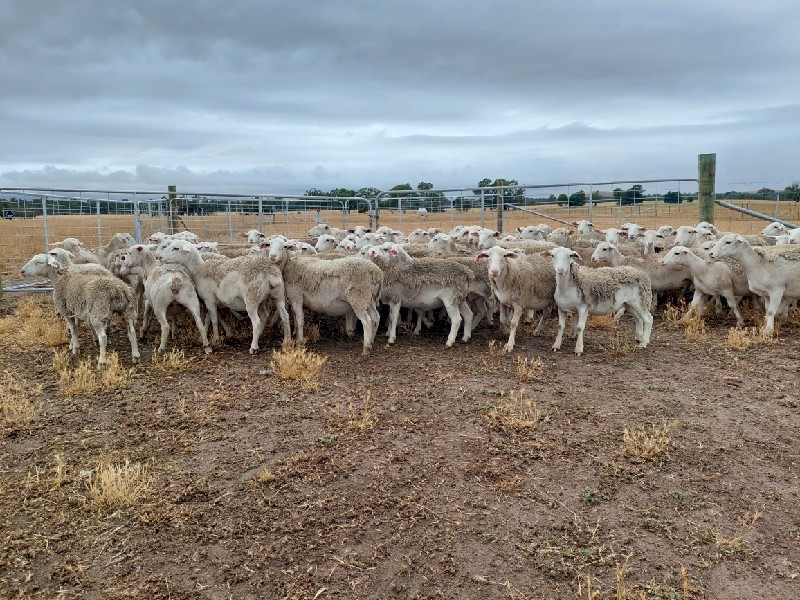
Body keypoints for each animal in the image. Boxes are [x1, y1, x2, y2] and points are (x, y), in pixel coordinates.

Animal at [160, 240, 291, 353]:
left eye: (176, 248)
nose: (160, 257)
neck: (199, 270)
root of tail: (269, 272)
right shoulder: (211, 301)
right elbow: (208, 318)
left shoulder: (209, 300)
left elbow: (213, 320)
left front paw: (215, 339)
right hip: (276, 296)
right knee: (284, 316)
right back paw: (286, 341)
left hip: (251, 298)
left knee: (257, 322)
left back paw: (253, 347)